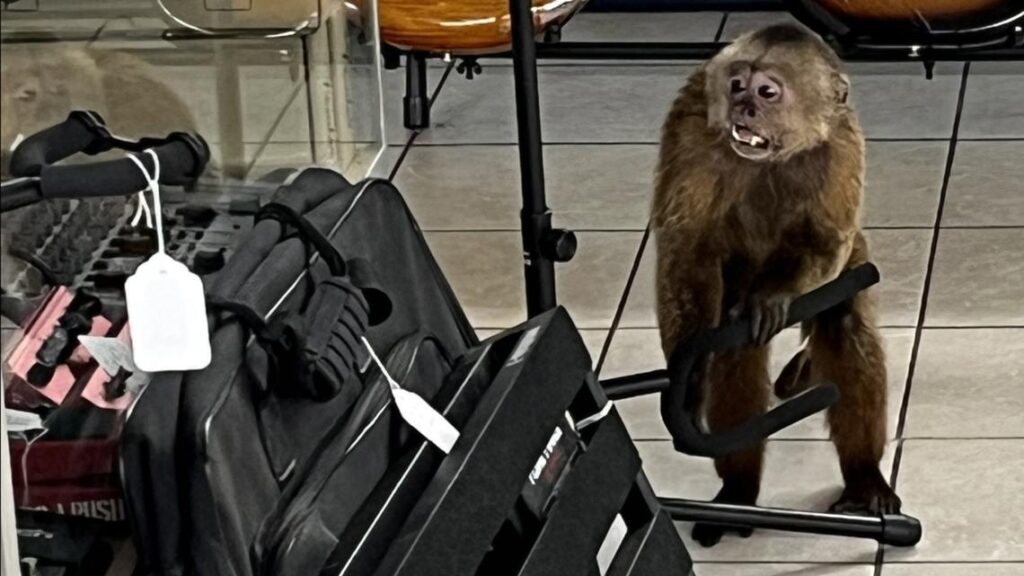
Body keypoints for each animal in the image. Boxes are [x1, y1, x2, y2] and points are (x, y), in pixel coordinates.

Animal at [651, 24, 900, 547]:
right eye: (737, 86)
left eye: (767, 92)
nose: (745, 107)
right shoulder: (691, 129)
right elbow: (685, 253)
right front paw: (688, 388)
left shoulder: (841, 140)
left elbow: (827, 242)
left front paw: (771, 301)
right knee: (735, 351)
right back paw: (739, 492)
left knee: (845, 320)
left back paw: (864, 479)